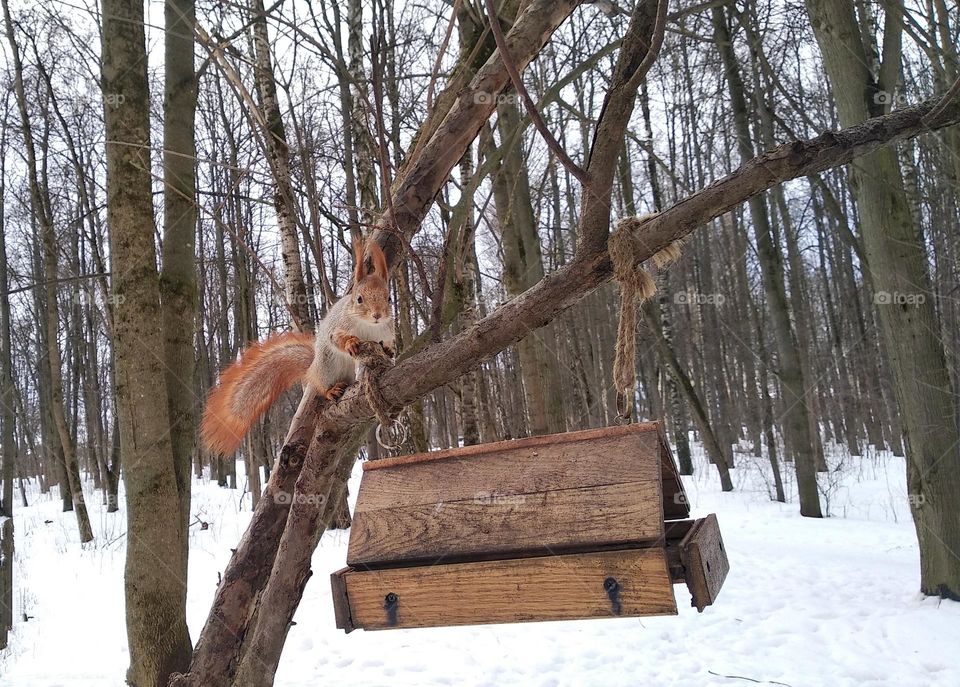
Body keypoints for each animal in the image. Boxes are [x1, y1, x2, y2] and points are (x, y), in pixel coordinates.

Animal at [201, 236, 396, 456]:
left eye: (389, 298)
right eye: (359, 299)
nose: (377, 315)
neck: (369, 326)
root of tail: (312, 367)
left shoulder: (386, 330)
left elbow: (389, 341)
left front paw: (389, 350)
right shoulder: (339, 326)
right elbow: (336, 339)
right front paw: (351, 343)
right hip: (327, 367)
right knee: (321, 385)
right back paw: (331, 390)